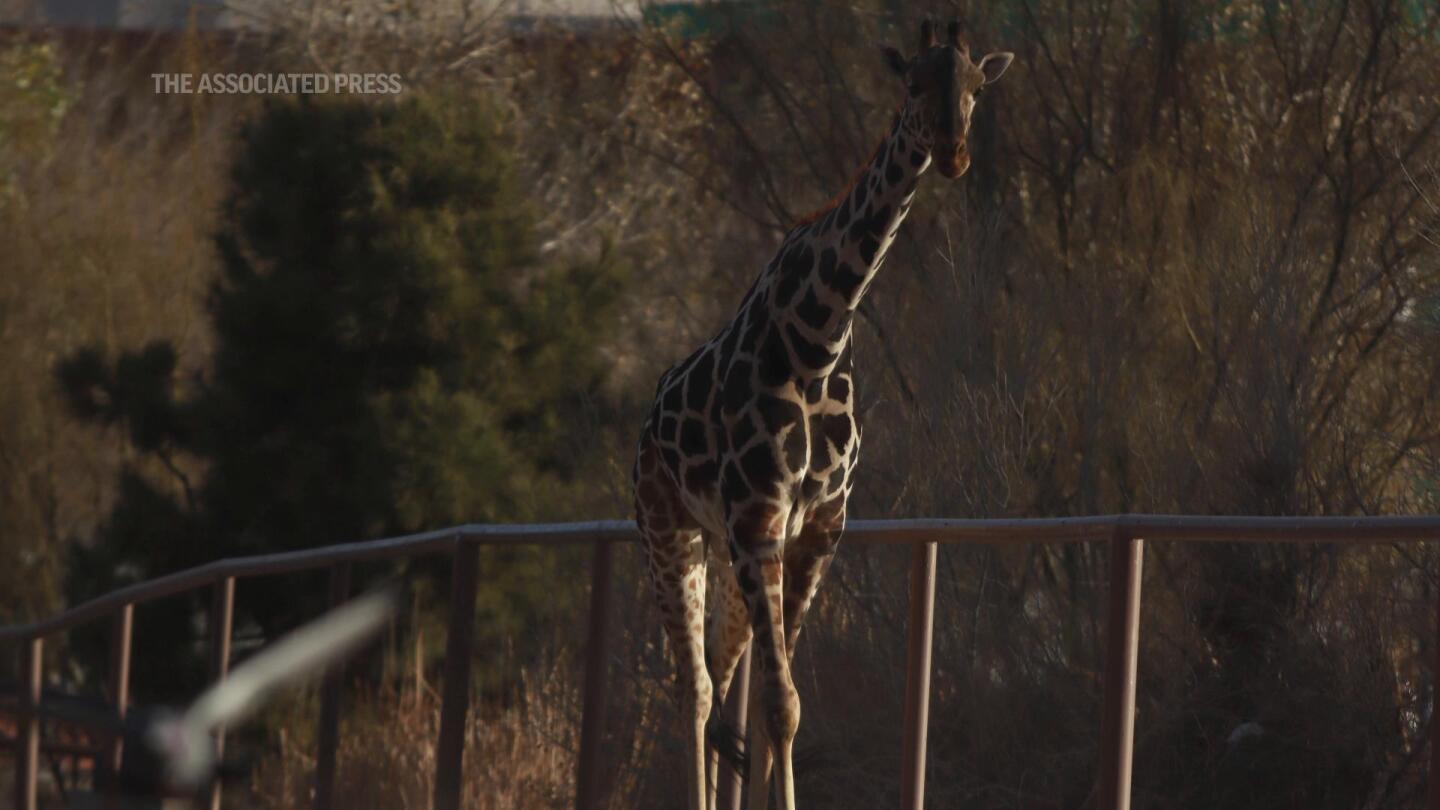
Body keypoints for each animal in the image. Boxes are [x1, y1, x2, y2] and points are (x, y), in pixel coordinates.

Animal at [630, 18, 1013, 807]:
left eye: (976, 86)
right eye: (912, 82)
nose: (955, 154)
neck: (818, 338)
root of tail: (647, 424)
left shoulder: (817, 528)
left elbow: (782, 706)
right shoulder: (758, 521)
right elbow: (779, 701)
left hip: (724, 551)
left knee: (721, 683)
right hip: (668, 530)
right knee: (695, 690)